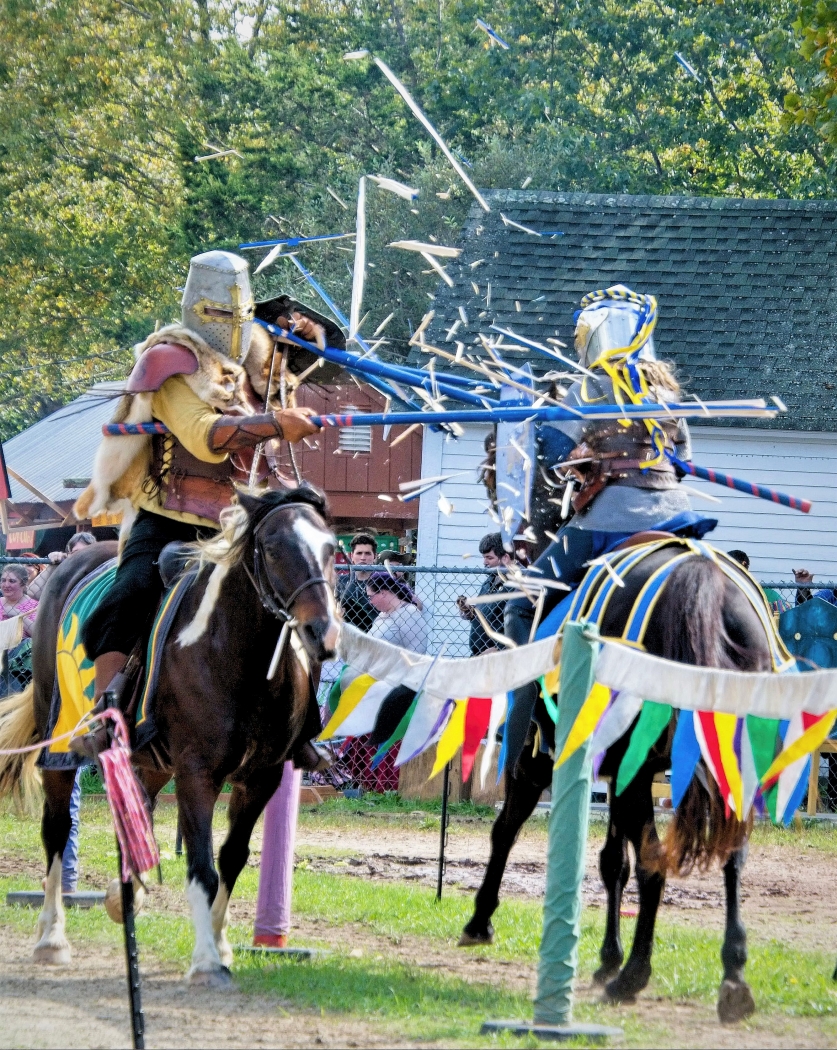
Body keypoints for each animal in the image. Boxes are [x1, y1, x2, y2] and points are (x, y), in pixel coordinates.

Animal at [0, 487, 340, 986]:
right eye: (274, 548)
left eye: (332, 548)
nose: (323, 633)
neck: (233, 652)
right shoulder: (196, 773)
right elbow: (202, 866)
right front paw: (206, 961)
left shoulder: (262, 777)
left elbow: (232, 857)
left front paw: (220, 943)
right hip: (59, 741)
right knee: (57, 830)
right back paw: (51, 937)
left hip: (150, 760)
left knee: (134, 815)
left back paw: (123, 896)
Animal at [453, 546, 772, 1020]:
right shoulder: (618, 774)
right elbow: (612, 864)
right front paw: (607, 959)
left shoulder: (535, 766)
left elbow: (505, 831)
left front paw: (480, 919)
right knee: (730, 855)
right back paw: (732, 976)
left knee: (654, 864)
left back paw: (634, 976)